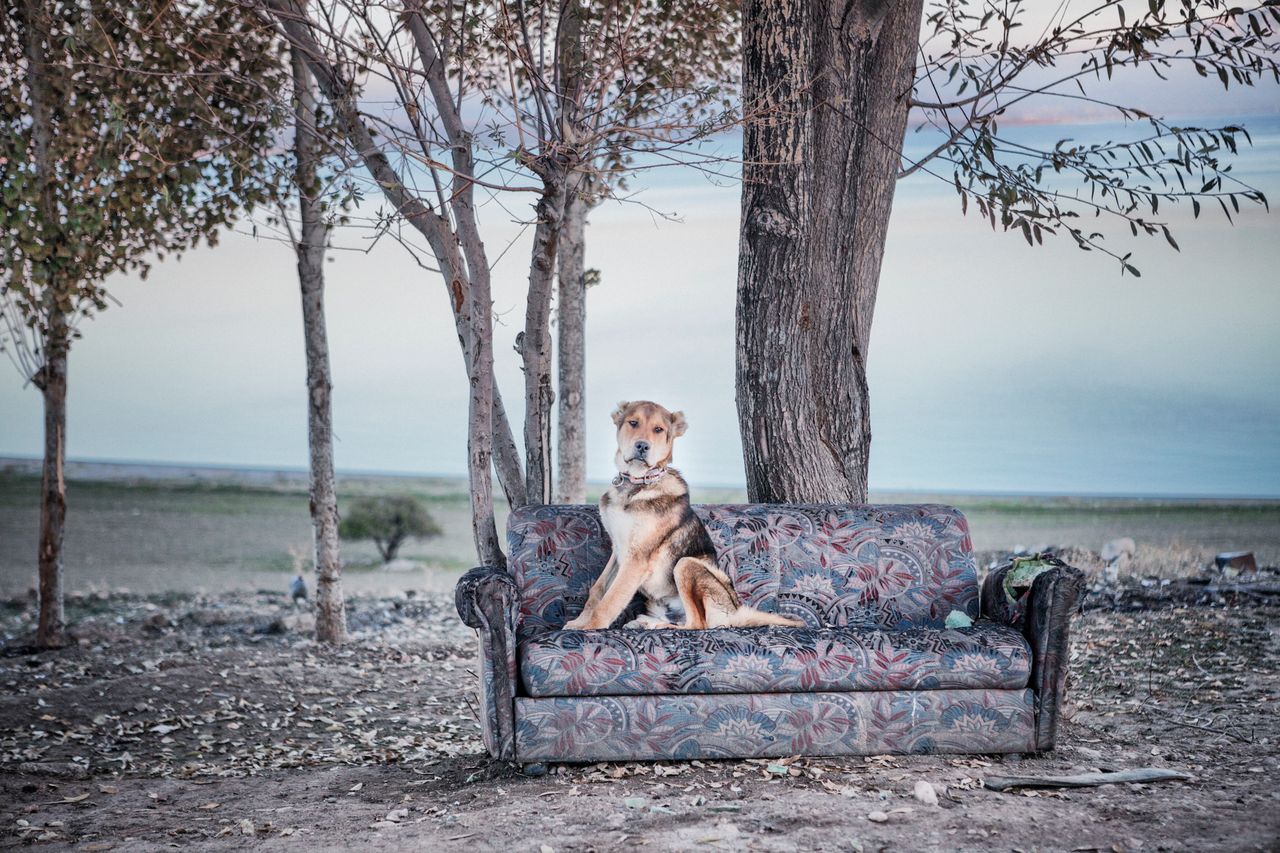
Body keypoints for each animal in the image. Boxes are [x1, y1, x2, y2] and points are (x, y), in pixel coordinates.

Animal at [563, 399, 798, 630]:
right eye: (633, 423)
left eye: (658, 429)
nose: (642, 446)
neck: (637, 485)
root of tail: (734, 612)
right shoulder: (618, 551)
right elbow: (598, 590)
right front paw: (579, 622)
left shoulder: (636, 559)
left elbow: (610, 601)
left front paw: (590, 628)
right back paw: (648, 621)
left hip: (686, 564)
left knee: (696, 624)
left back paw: (655, 626)